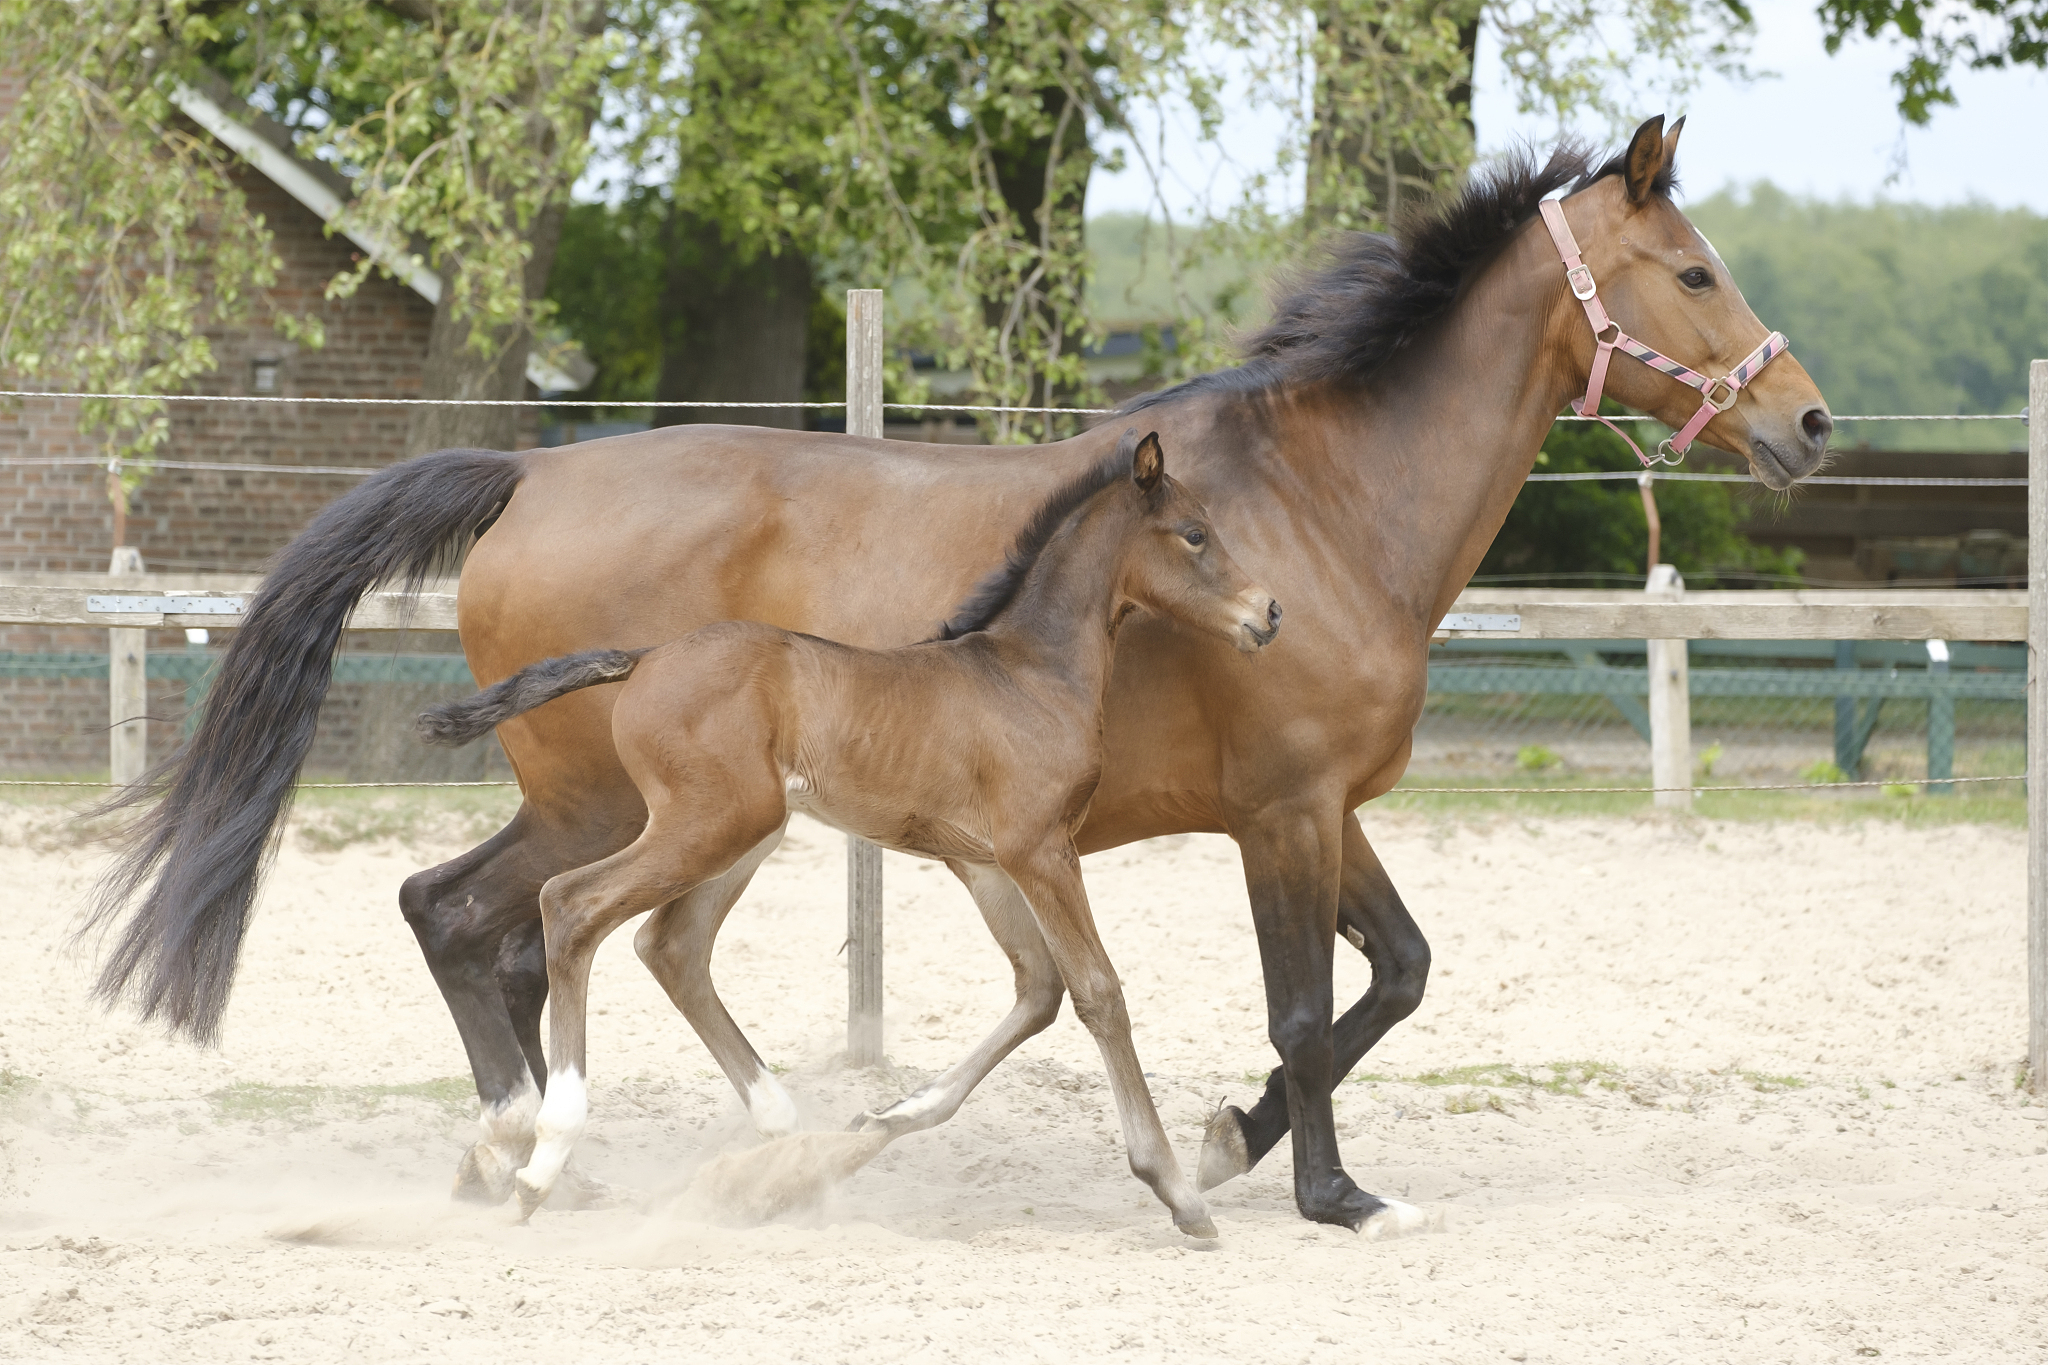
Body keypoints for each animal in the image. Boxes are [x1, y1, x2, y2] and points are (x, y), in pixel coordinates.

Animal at [413, 429, 1281, 1236]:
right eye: (1195, 533)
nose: (1268, 611)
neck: (1029, 674)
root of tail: (645, 657)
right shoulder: (1041, 849)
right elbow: (1099, 992)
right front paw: (1177, 1191)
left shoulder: (985, 862)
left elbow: (1039, 990)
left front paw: (883, 1118)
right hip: (709, 823)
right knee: (572, 905)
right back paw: (543, 1161)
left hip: (740, 831)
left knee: (668, 943)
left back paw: (769, 1142)